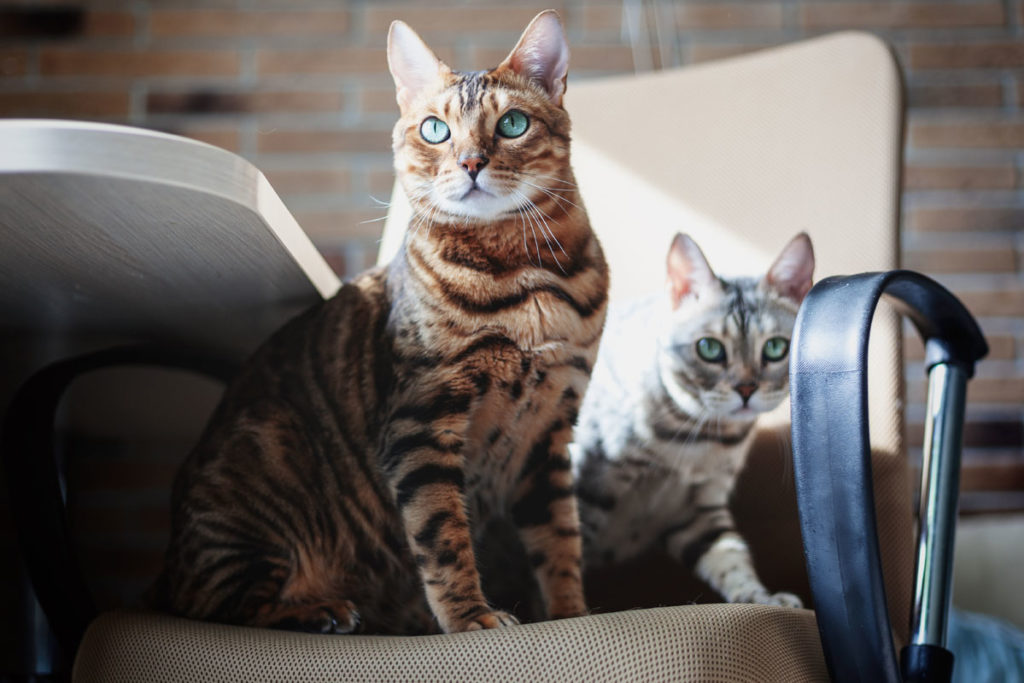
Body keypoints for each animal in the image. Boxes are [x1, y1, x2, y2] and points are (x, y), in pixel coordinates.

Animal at [153, 10, 606, 638]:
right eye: (435, 130)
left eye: (513, 124)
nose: (471, 163)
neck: (526, 280)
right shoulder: (422, 423)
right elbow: (444, 538)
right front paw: (472, 618)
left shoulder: (550, 433)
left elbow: (560, 541)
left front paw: (570, 615)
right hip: (261, 479)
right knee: (213, 604)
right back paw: (319, 609)